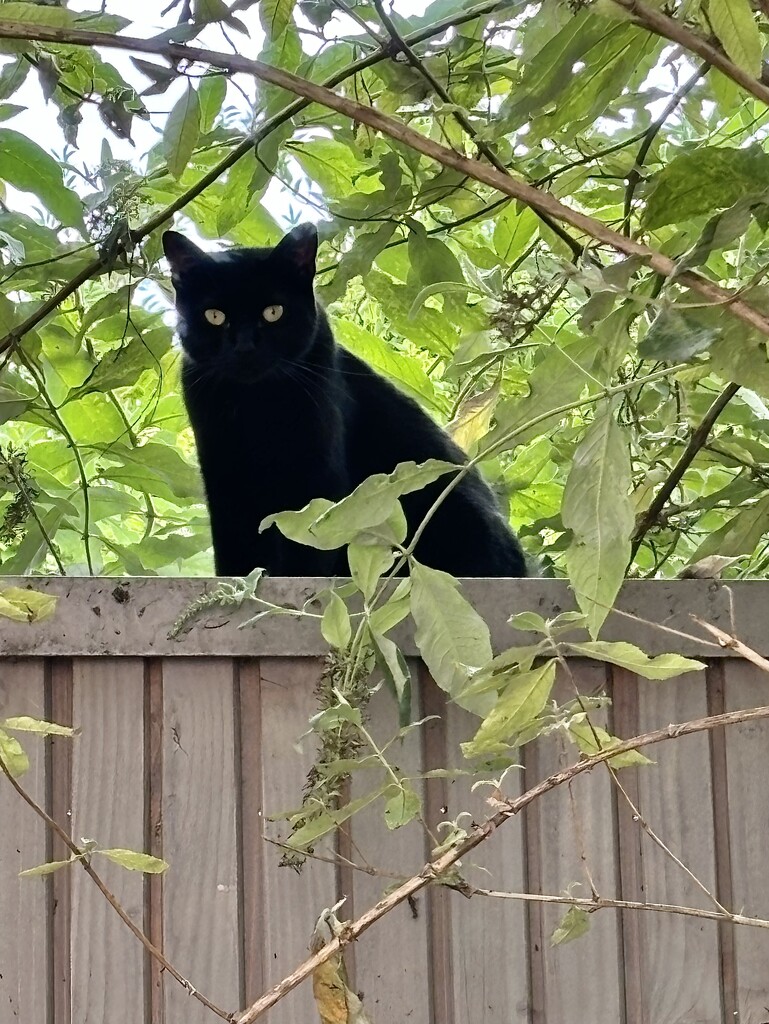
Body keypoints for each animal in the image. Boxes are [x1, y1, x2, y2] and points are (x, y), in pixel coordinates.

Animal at [163, 223, 528, 577]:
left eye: (273, 312)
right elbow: (237, 549)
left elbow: (307, 545)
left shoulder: (317, 473)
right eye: (214, 316)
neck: (258, 405)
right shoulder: (225, 477)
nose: (245, 346)